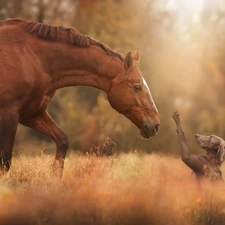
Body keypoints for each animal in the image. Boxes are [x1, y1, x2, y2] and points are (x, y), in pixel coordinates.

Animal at [0, 18, 160, 177]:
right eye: (137, 87)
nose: (156, 125)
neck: (34, 57)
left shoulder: (31, 114)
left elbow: (62, 140)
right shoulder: (9, 113)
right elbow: (5, 161)